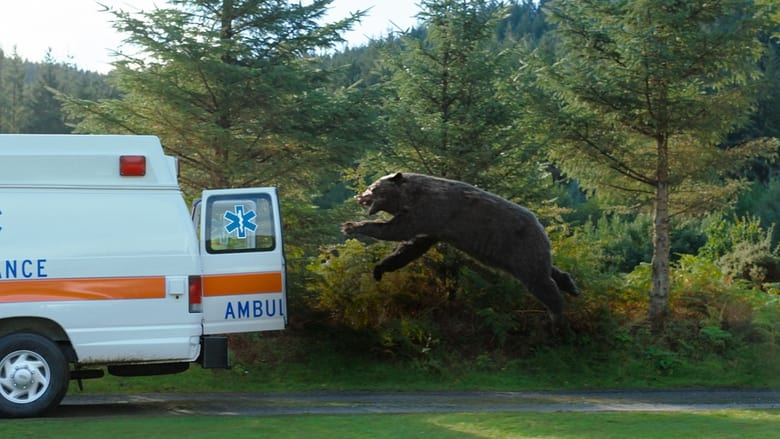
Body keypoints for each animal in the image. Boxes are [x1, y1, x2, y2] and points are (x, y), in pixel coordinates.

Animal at [341, 172, 580, 322]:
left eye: (373, 187)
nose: (360, 195)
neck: (412, 197)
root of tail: (542, 227)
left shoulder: (431, 210)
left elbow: (396, 231)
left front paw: (351, 226)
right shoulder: (432, 226)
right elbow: (410, 248)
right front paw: (379, 268)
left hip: (519, 246)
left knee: (540, 282)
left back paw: (557, 314)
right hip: (521, 254)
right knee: (547, 270)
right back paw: (571, 286)